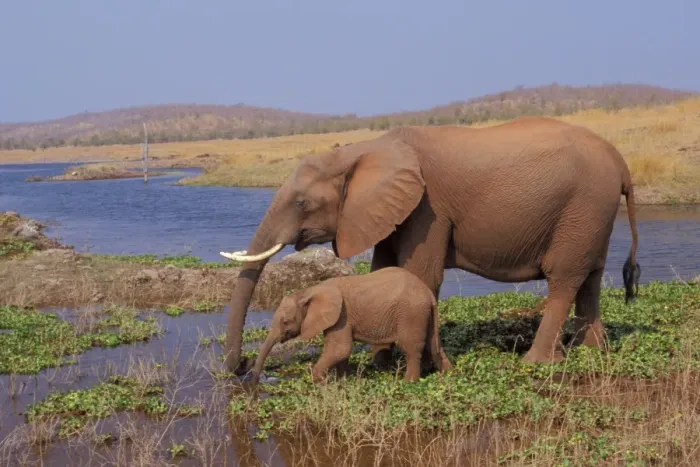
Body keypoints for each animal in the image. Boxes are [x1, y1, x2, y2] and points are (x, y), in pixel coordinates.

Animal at [249, 267, 453, 384]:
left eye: (285, 322)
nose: (255, 379)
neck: (309, 291)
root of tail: (428, 294)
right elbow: (340, 351)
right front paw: (342, 379)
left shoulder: (341, 316)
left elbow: (340, 349)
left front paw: (317, 380)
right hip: (422, 314)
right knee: (433, 344)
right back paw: (448, 374)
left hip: (410, 314)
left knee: (411, 347)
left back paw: (409, 382)